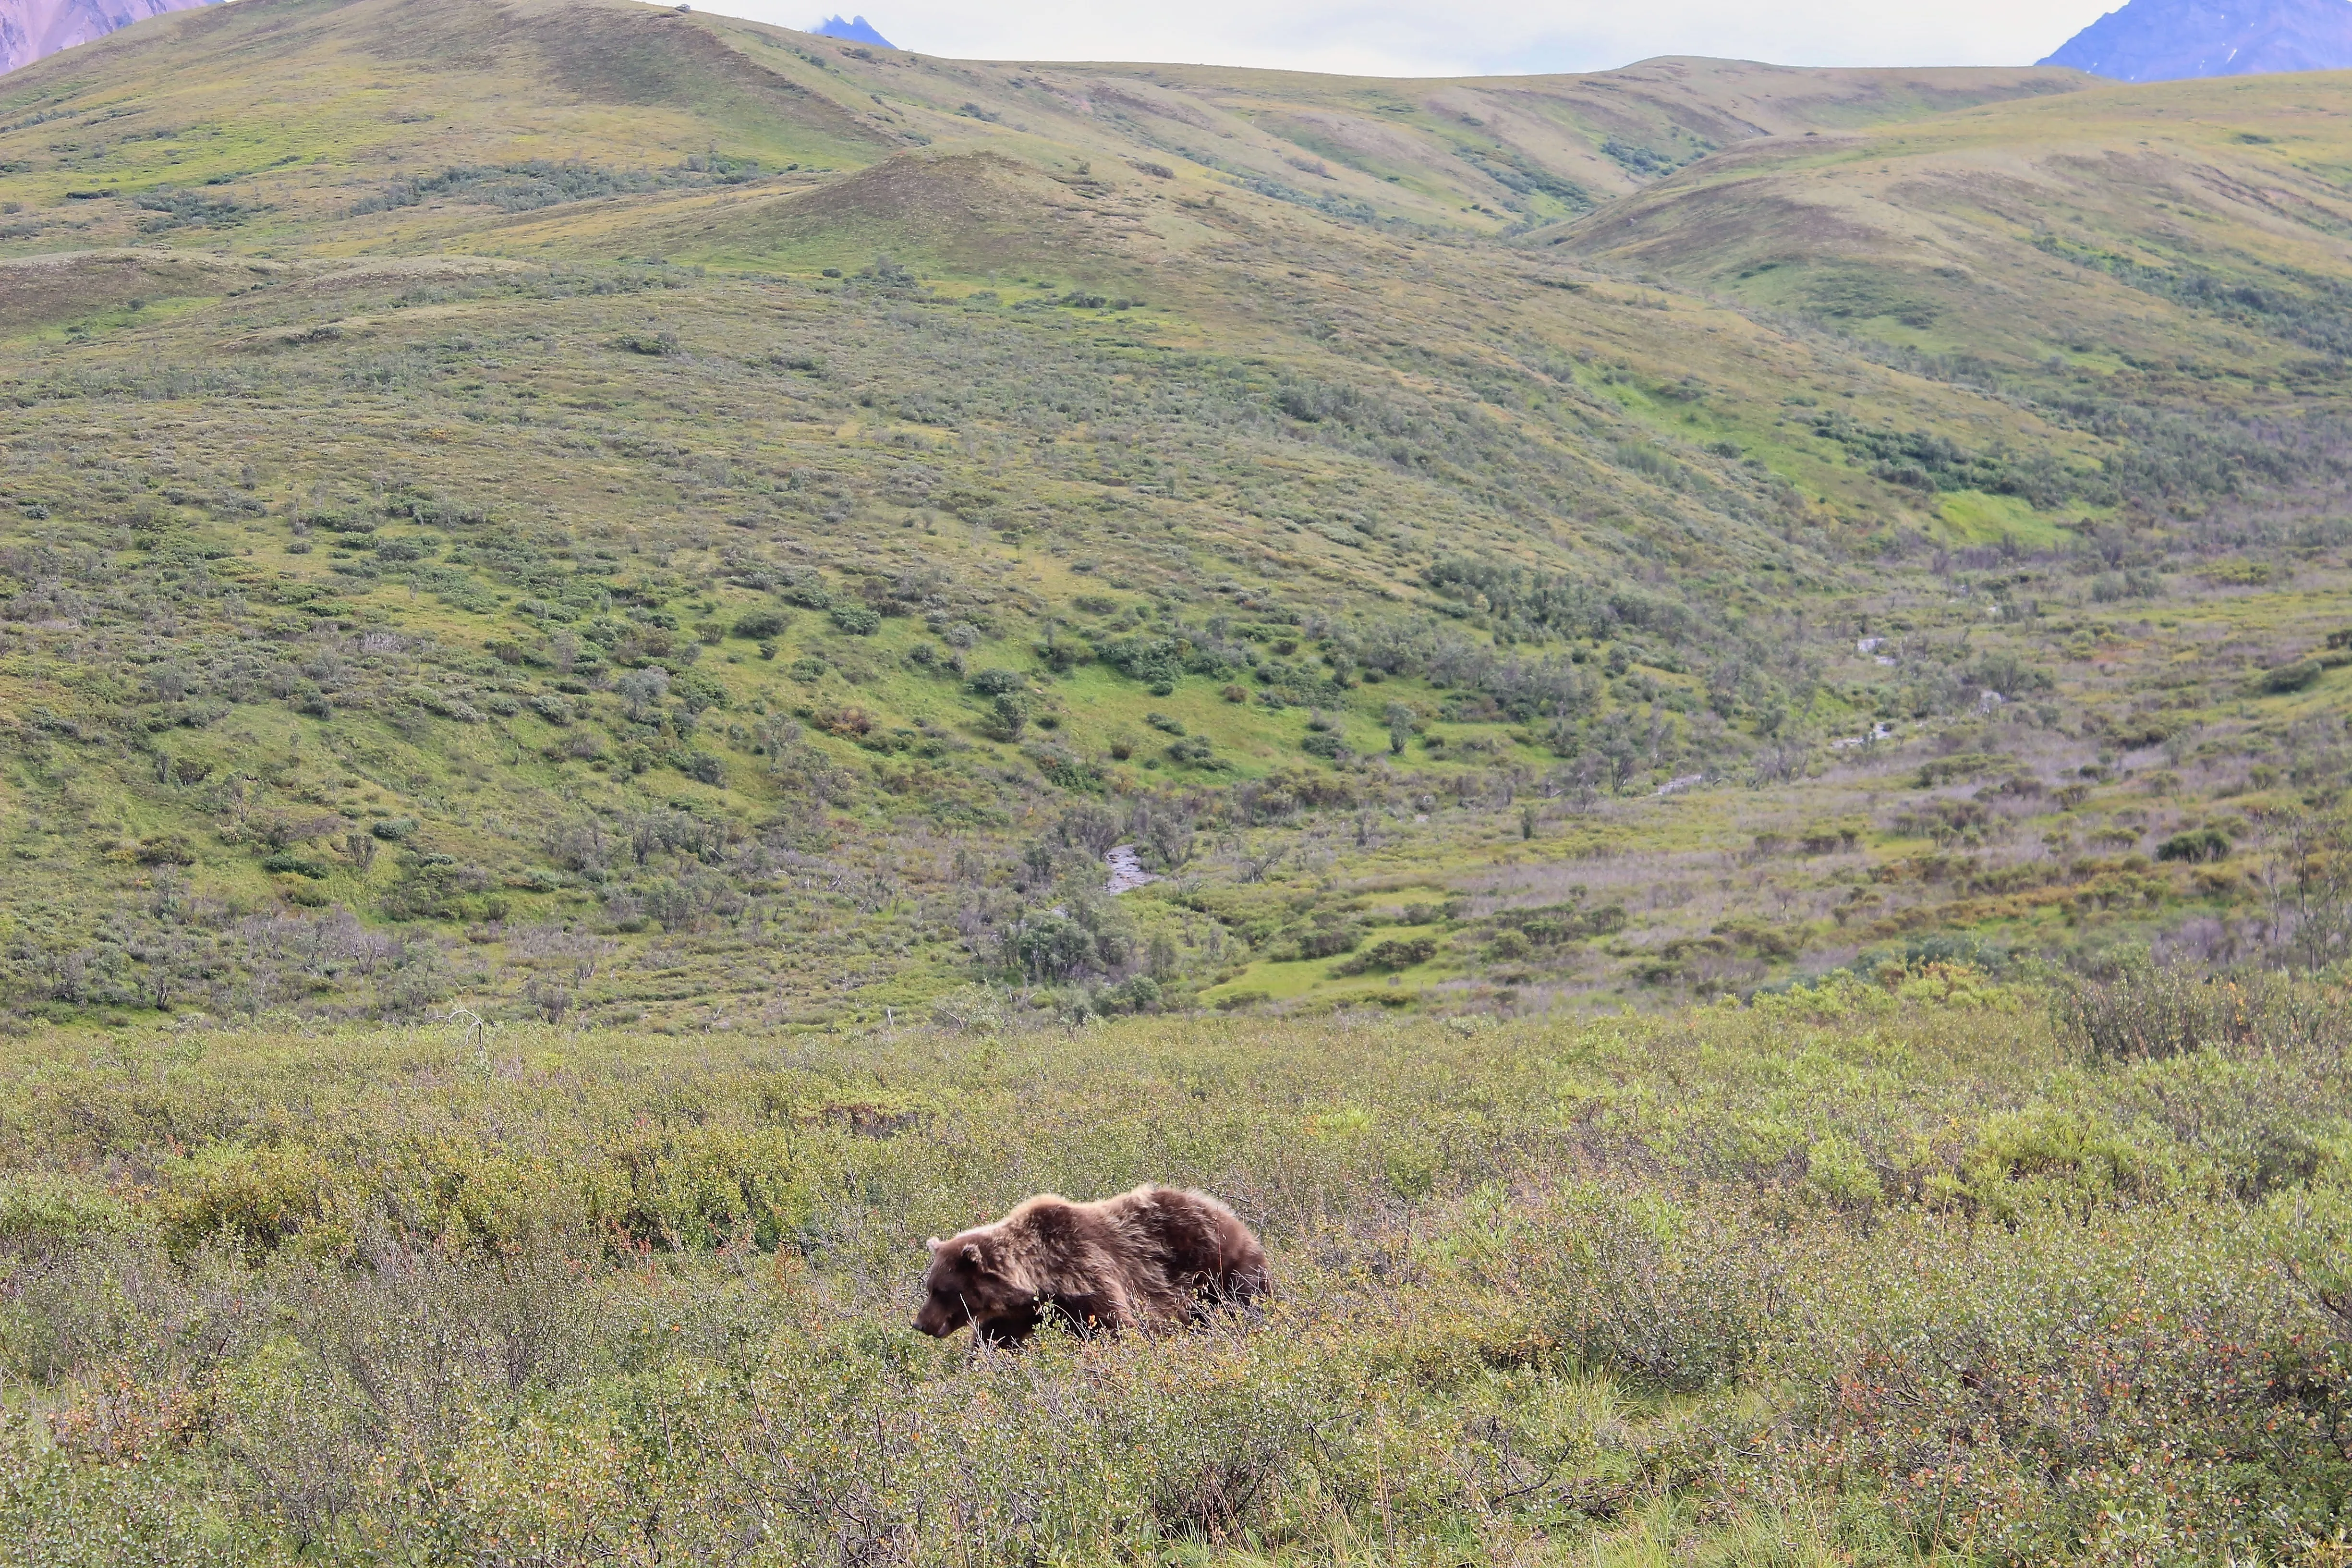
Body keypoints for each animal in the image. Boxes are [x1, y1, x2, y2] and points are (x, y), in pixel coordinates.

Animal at [912, 1184, 1269, 1345]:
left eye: (943, 1290)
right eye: (930, 1287)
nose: (920, 1323)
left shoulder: (1090, 1276)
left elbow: (1119, 1327)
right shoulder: (1018, 1315)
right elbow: (994, 1342)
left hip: (1221, 1268)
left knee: (1244, 1299)